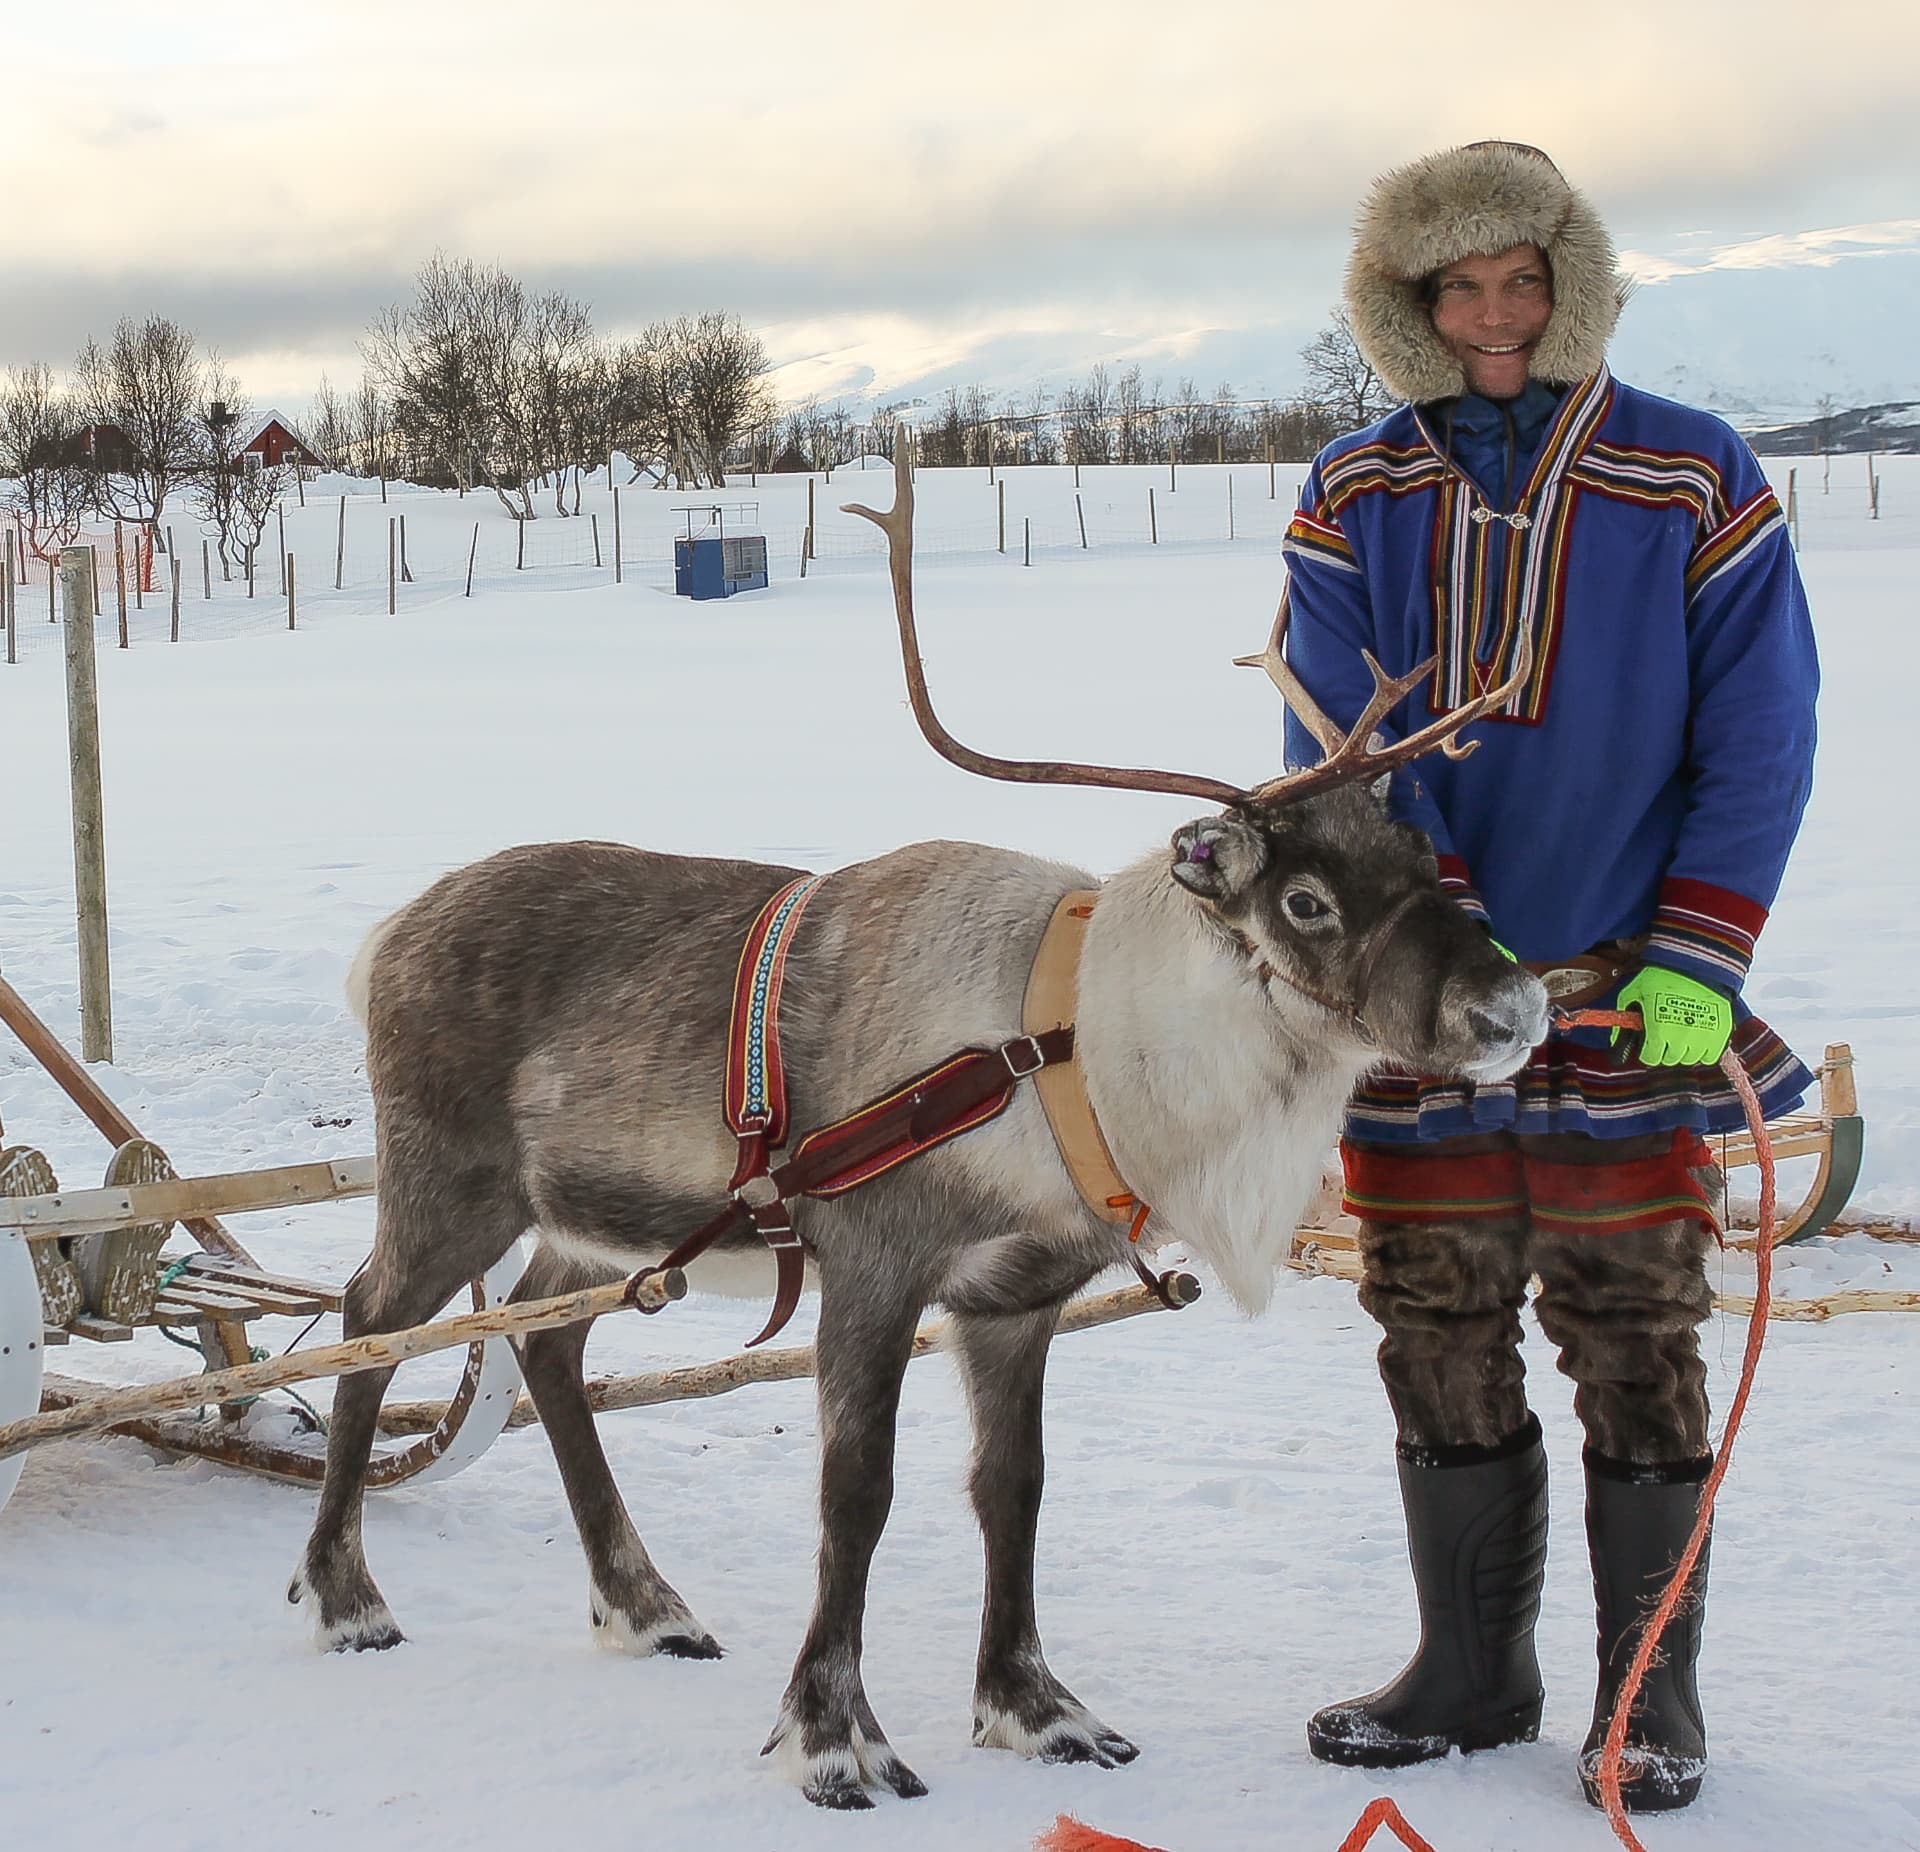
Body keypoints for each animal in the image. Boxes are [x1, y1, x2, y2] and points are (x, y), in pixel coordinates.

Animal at [289, 439, 1551, 1810]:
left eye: (1421, 850)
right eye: (1307, 899)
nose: (1514, 1004)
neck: (1068, 1052)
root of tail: (378, 942)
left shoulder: (1015, 1297)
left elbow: (1015, 1490)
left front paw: (1038, 1709)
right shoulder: (875, 1265)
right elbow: (860, 1493)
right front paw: (835, 1735)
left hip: (589, 1222)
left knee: (547, 1346)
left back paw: (647, 1603)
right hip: (449, 1185)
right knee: (367, 1323)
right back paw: (346, 1596)